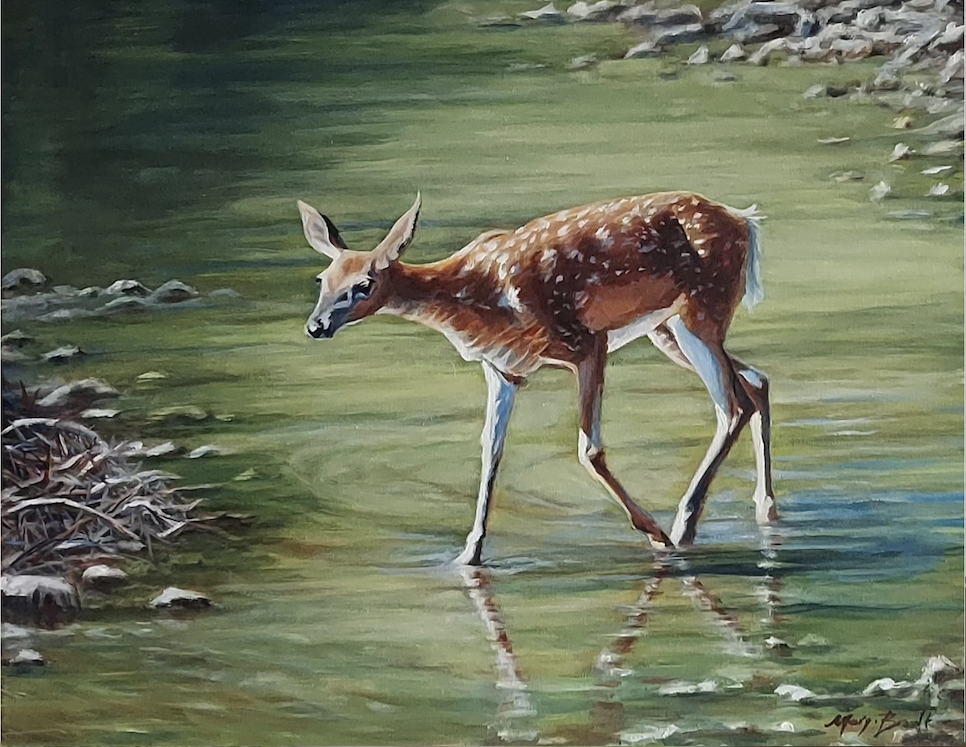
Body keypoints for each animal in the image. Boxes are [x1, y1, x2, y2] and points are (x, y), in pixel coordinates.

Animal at [297, 191, 776, 566]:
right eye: (322, 279)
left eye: (364, 284)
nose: (315, 326)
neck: (472, 301)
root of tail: (745, 221)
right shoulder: (502, 371)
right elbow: (491, 452)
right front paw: (468, 555)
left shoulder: (586, 342)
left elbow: (589, 450)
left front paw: (653, 534)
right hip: (669, 328)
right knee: (756, 382)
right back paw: (764, 507)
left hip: (701, 311)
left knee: (730, 406)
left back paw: (682, 527)